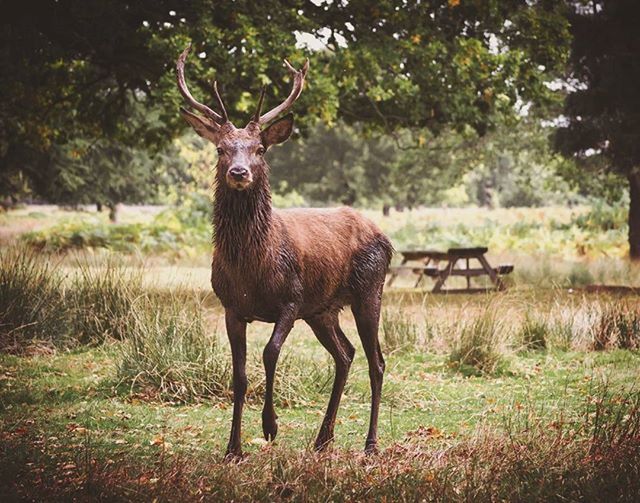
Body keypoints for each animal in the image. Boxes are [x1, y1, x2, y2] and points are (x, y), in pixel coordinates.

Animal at [178, 45, 392, 458]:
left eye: (260, 148)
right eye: (220, 148)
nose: (239, 172)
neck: (251, 268)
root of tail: (385, 237)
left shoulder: (291, 299)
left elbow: (270, 352)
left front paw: (270, 426)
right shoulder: (231, 307)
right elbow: (239, 374)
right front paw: (233, 448)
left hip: (369, 290)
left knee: (377, 361)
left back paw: (371, 444)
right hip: (323, 309)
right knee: (345, 354)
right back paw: (323, 439)